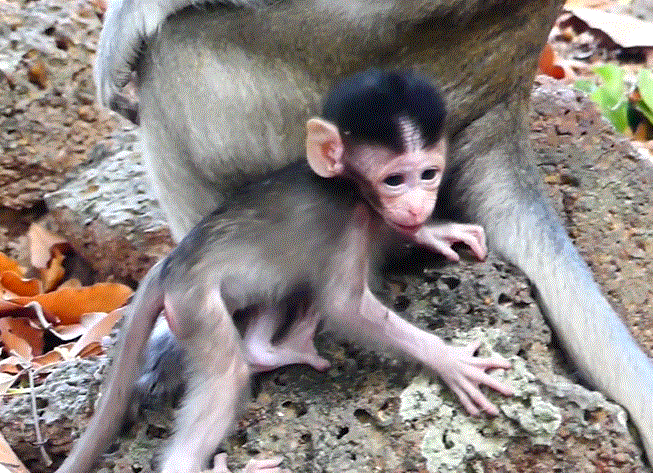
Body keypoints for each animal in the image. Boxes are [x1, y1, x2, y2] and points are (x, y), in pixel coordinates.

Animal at [56, 70, 513, 473]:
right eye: (395, 180)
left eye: (429, 174)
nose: (419, 205)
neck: (347, 187)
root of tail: (173, 263)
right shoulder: (347, 221)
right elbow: (344, 306)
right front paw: (448, 360)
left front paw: (434, 231)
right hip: (194, 304)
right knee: (227, 375)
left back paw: (271, 349)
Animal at [92, 0, 653, 464]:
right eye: (396, 179)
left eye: (422, 176)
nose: (416, 201)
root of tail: (507, 92)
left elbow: (346, 305)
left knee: (169, 57)